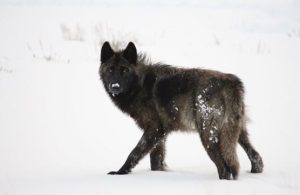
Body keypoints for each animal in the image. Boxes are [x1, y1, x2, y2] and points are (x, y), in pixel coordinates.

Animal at [98, 41, 262, 180]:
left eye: (124, 70)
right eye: (110, 70)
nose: (115, 86)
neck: (139, 85)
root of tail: (231, 83)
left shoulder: (154, 129)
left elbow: (134, 153)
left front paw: (120, 173)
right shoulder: (161, 135)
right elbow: (156, 160)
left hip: (208, 136)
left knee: (225, 168)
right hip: (237, 132)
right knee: (256, 157)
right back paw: (255, 171)